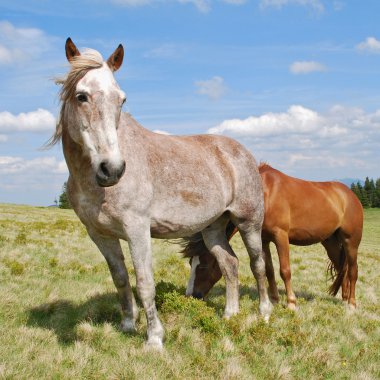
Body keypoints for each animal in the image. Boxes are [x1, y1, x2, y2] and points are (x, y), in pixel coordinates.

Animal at [49, 40, 274, 348]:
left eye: (121, 100)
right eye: (82, 96)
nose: (112, 169)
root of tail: (243, 153)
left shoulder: (137, 230)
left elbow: (145, 283)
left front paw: (154, 339)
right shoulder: (100, 235)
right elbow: (120, 279)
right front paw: (127, 325)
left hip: (249, 223)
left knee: (257, 264)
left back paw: (264, 313)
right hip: (213, 228)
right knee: (230, 264)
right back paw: (231, 314)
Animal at [186, 163, 364, 308]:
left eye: (203, 266)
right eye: (190, 263)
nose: (191, 295)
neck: (265, 195)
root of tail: (350, 195)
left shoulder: (281, 237)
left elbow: (284, 270)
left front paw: (291, 302)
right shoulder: (263, 239)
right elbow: (269, 270)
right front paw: (274, 300)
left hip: (351, 242)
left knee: (353, 271)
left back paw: (352, 304)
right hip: (331, 243)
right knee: (342, 269)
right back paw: (344, 299)